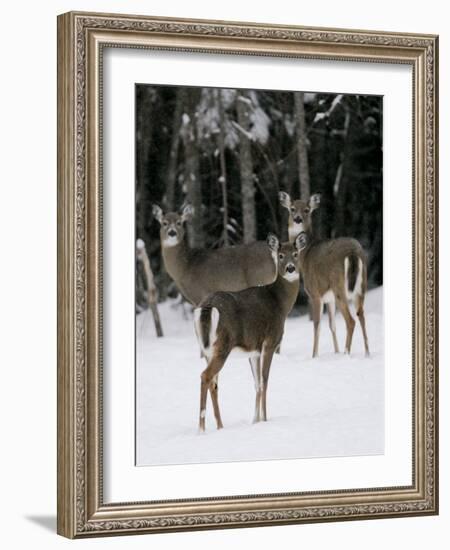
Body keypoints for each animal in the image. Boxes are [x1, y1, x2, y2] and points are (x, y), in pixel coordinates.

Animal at [192, 231, 308, 434]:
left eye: (295, 254)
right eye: (280, 255)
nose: (291, 269)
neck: (280, 303)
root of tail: (206, 307)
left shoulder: (253, 350)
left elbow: (257, 384)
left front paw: (255, 420)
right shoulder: (270, 342)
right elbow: (265, 381)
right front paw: (265, 419)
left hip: (207, 348)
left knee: (214, 382)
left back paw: (220, 426)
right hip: (223, 344)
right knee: (206, 376)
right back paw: (201, 428)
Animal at [280, 192, 370, 360]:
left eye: (307, 210)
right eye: (292, 208)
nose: (297, 219)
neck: (305, 254)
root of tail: (353, 252)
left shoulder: (315, 293)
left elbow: (317, 325)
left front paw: (314, 355)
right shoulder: (329, 298)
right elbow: (332, 325)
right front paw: (335, 351)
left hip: (339, 286)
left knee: (351, 321)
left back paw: (346, 353)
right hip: (360, 286)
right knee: (361, 315)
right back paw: (367, 353)